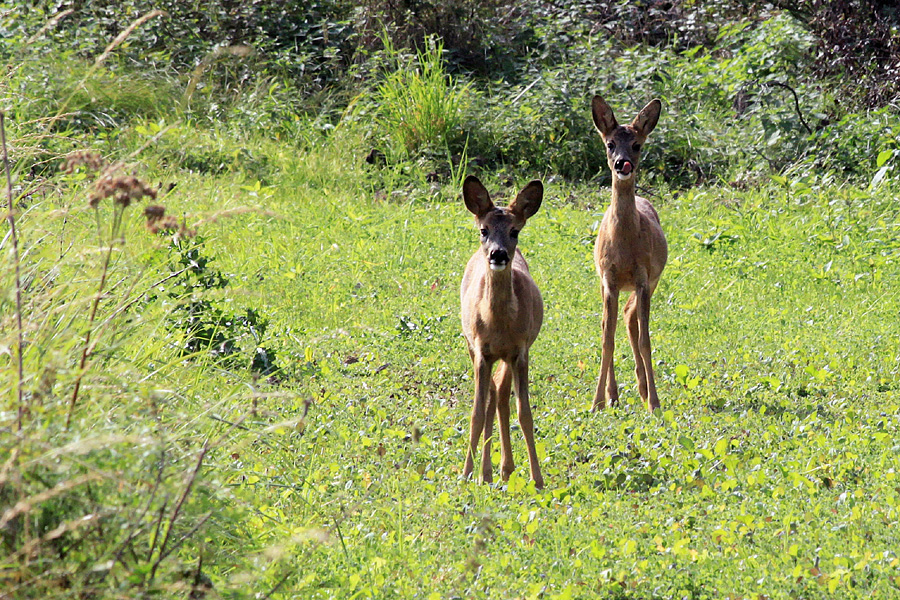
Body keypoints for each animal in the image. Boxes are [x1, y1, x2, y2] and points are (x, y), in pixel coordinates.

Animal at [460, 175, 545, 489]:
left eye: (515, 230)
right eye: (483, 230)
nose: (498, 253)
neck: (497, 325)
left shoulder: (520, 351)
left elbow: (524, 412)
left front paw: (537, 479)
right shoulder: (481, 351)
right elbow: (476, 411)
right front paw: (465, 474)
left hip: (510, 355)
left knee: (500, 395)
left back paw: (504, 468)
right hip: (470, 346)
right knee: (491, 398)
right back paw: (486, 472)